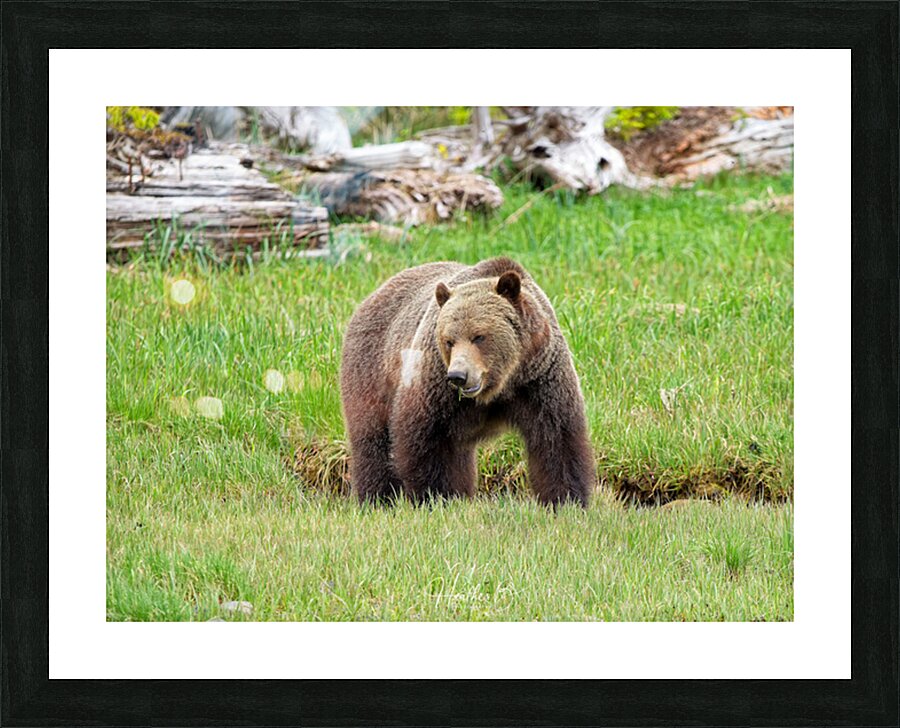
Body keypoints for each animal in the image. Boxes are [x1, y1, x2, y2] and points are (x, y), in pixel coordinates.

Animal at [339, 257, 595, 507]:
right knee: (372, 439)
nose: (458, 376)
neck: (502, 383)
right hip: (371, 368)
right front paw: (435, 496)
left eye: (479, 336)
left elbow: (557, 438)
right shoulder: (436, 386)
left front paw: (567, 499)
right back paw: (376, 498)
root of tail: (373, 295)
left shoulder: (540, 379)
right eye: (449, 341)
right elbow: (425, 437)